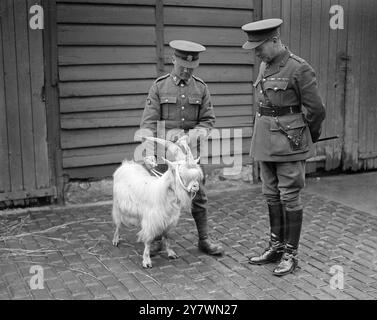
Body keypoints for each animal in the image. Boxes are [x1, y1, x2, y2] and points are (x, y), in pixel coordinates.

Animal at [111, 136, 203, 268]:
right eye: (180, 174)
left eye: (197, 175)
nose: (196, 186)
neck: (163, 193)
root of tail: (127, 164)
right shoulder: (151, 220)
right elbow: (148, 240)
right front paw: (146, 261)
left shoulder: (169, 221)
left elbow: (167, 237)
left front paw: (171, 253)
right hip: (117, 206)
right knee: (118, 224)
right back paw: (115, 240)